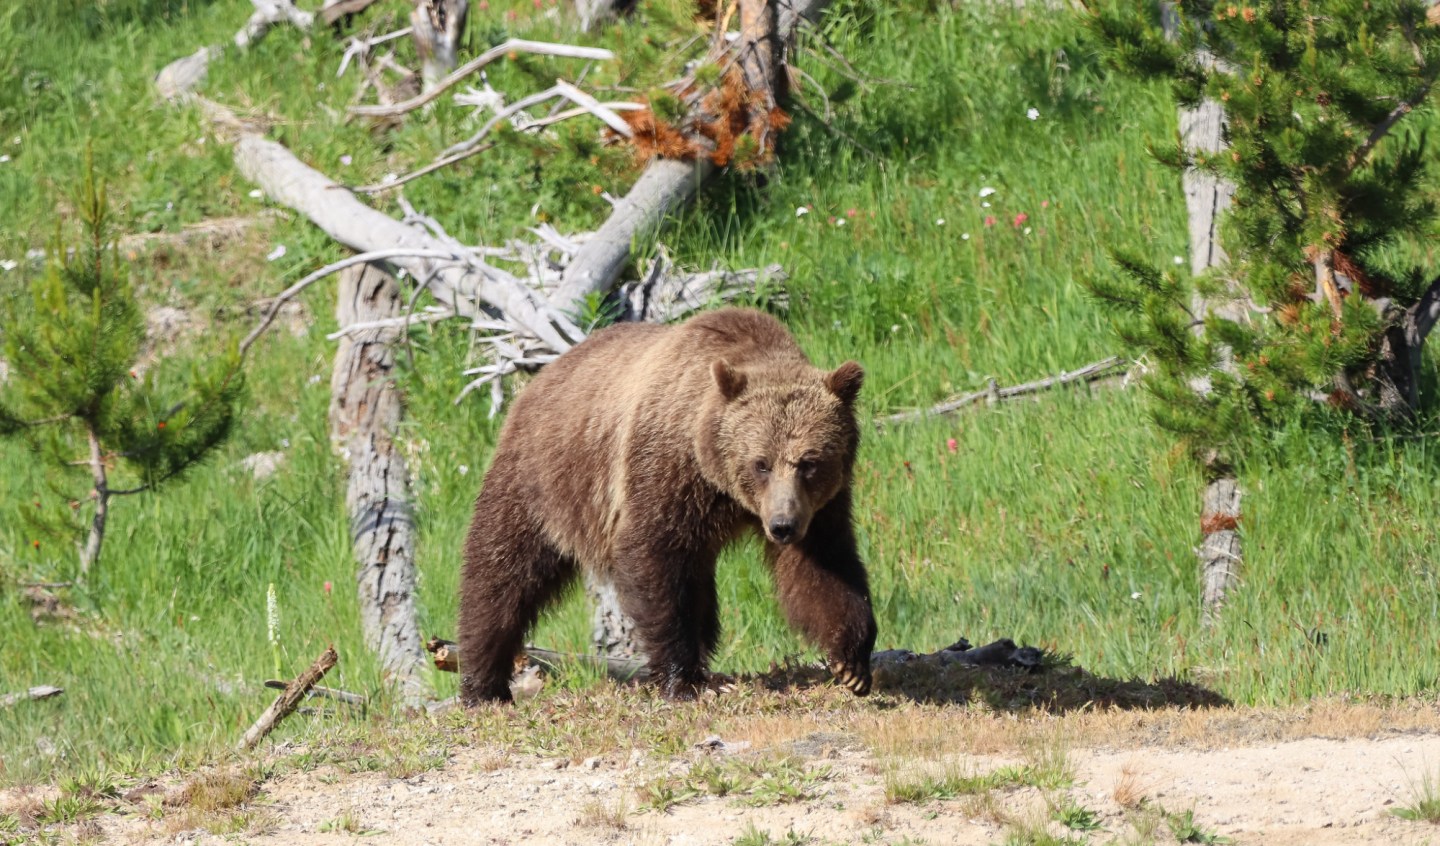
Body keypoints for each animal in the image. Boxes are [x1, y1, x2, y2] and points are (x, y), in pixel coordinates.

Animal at [455, 307, 875, 705]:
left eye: (809, 462)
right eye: (761, 463)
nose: (783, 526)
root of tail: (541, 376)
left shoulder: (820, 505)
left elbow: (824, 564)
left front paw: (852, 661)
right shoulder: (665, 468)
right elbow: (653, 555)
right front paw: (680, 679)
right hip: (544, 479)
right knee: (502, 569)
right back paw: (483, 683)